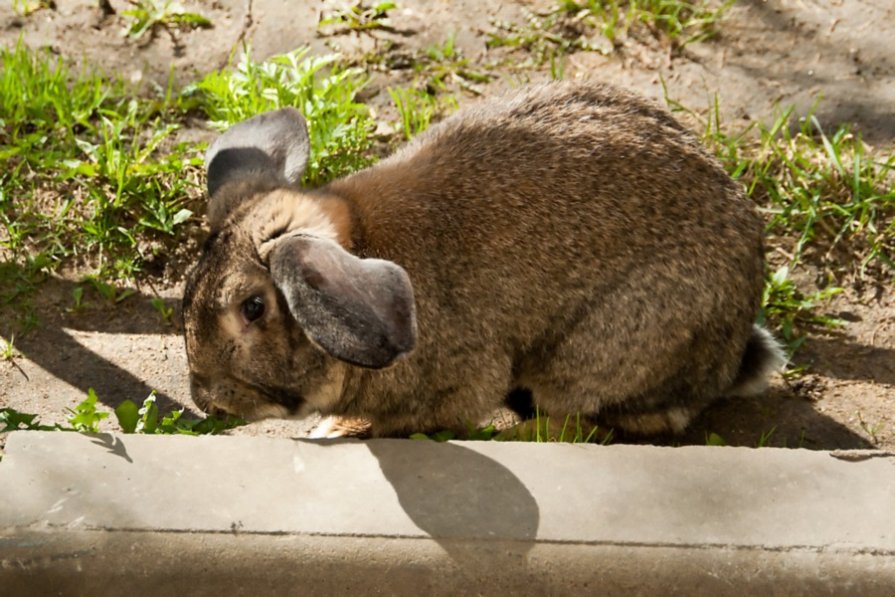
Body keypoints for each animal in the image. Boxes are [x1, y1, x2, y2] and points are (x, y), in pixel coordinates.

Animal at [182, 80, 784, 438]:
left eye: (253, 308)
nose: (206, 400)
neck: (362, 242)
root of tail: (731, 352)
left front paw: (340, 431)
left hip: (600, 350)